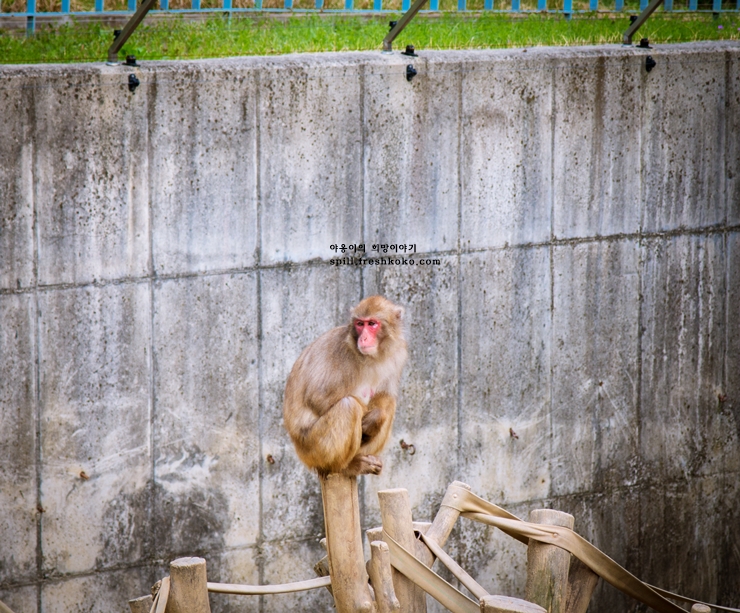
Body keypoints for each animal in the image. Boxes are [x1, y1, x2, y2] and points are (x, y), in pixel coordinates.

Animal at [282, 295, 407, 477]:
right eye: (360, 324)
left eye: (372, 323)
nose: (363, 338)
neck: (372, 357)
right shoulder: (340, 352)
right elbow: (317, 398)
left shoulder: (398, 354)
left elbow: (385, 394)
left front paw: (375, 419)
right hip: (313, 448)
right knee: (348, 405)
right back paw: (345, 467)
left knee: (389, 402)